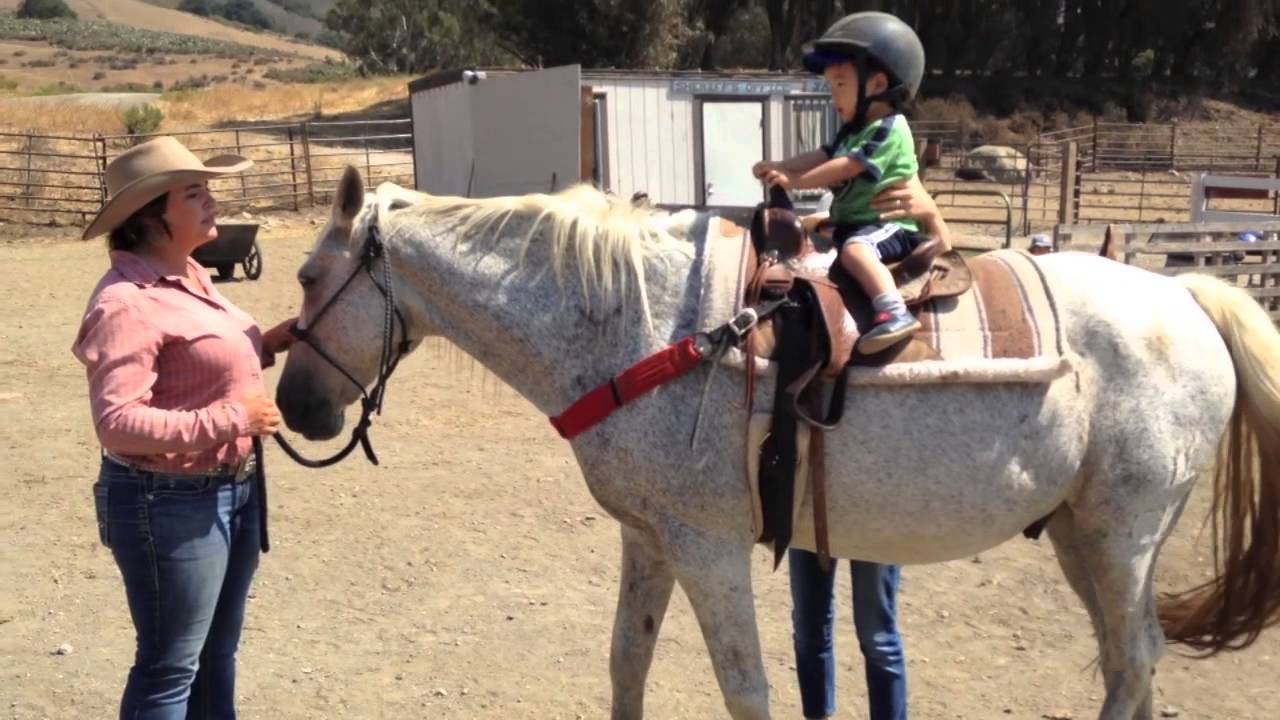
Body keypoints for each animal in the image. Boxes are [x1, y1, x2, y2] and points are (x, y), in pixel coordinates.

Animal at [277, 165, 1280, 712]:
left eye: (308, 275)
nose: (294, 407)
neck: (640, 327)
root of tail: (1189, 295)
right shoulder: (649, 540)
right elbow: (627, 662)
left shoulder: (705, 546)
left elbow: (745, 686)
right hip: (1082, 533)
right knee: (1127, 658)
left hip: (1123, 535)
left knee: (1135, 658)